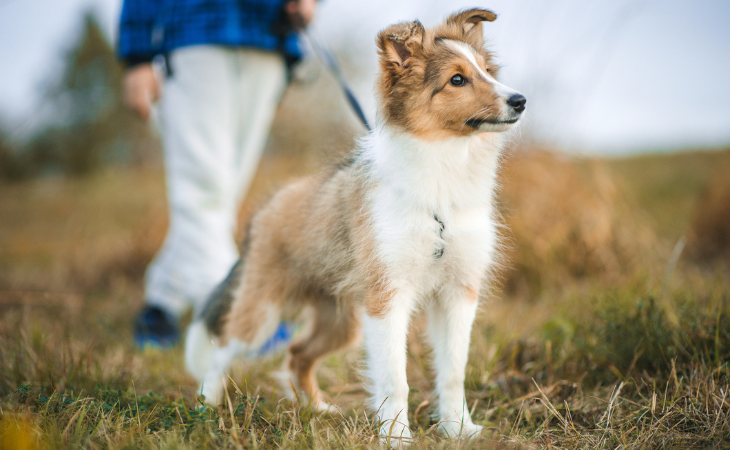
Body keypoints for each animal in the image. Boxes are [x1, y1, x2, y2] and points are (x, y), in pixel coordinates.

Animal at [182, 8, 524, 444]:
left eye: (487, 71)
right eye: (457, 80)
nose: (520, 101)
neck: (440, 186)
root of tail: (266, 208)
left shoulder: (458, 293)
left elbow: (452, 372)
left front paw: (458, 430)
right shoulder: (387, 297)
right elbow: (395, 378)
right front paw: (397, 437)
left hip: (340, 320)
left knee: (296, 355)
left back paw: (317, 410)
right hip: (263, 310)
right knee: (223, 348)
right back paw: (205, 408)